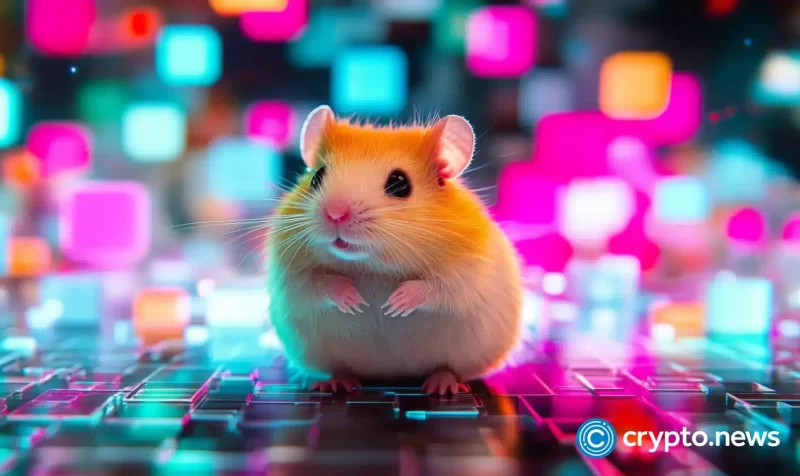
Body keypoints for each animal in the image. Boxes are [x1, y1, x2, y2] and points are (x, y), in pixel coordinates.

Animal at [267, 105, 523, 395]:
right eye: (317, 176)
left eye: (400, 184)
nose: (335, 214)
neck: (371, 267)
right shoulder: (289, 273)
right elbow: (316, 283)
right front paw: (355, 300)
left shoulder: (468, 271)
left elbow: (438, 289)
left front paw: (394, 304)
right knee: (340, 368)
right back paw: (335, 383)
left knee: (448, 368)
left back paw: (442, 386)